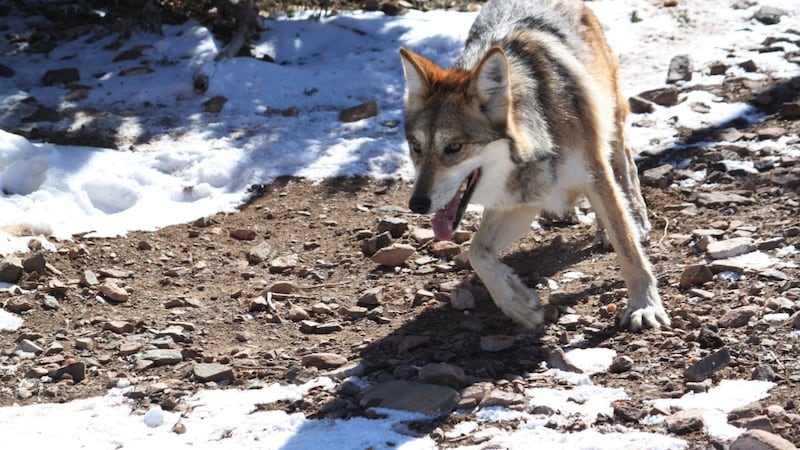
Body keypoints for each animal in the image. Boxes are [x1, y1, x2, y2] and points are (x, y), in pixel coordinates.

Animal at [399, 0, 670, 330]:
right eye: (416, 148)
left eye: (454, 148)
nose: (417, 204)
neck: (542, 131)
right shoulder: (523, 199)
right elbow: (477, 252)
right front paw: (519, 304)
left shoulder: (594, 174)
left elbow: (628, 247)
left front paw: (645, 305)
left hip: (610, 116)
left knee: (626, 165)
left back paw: (635, 219)